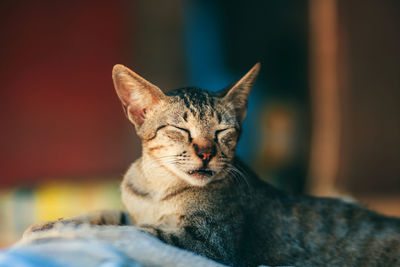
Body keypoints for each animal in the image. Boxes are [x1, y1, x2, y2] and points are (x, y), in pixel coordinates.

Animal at [25, 63, 400, 266]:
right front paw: (50, 225)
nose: (206, 153)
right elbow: (112, 216)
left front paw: (72, 233)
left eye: (223, 131)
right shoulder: (137, 211)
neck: (158, 189)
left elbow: (130, 232)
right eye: (180, 129)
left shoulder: (207, 244)